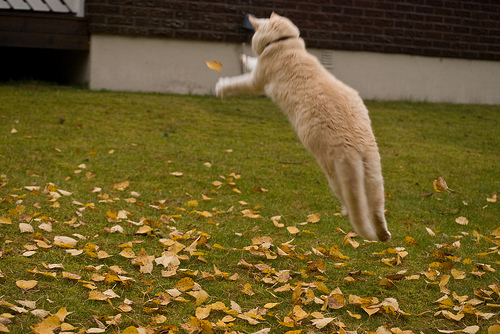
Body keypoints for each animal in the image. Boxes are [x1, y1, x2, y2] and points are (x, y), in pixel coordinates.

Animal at [215, 12, 390, 240]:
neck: (285, 44)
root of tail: (356, 146)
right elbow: (252, 62)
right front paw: (244, 58)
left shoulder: (256, 81)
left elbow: (237, 82)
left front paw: (221, 87)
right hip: (374, 176)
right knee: (376, 208)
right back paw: (384, 234)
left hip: (337, 176)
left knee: (354, 206)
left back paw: (351, 216)